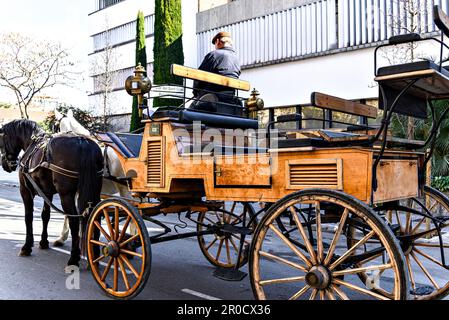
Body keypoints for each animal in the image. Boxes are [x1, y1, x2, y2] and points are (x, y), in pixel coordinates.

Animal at [0, 119, 102, 266]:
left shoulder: (25, 190)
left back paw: (74, 258)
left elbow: (28, 216)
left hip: (66, 195)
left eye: (1, 140)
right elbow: (45, 216)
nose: (6, 165)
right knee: (96, 216)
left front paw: (27, 246)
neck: (32, 143)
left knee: (74, 220)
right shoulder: (47, 193)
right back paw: (95, 256)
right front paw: (43, 242)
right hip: (94, 191)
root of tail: (83, 142)